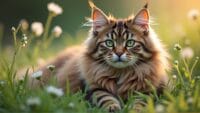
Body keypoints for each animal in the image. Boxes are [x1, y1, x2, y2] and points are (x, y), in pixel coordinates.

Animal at [28, 1, 170, 112]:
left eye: (130, 43)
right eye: (109, 43)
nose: (119, 53)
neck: (120, 73)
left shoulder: (147, 89)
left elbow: (140, 101)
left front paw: (135, 109)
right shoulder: (94, 88)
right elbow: (105, 98)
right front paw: (113, 108)